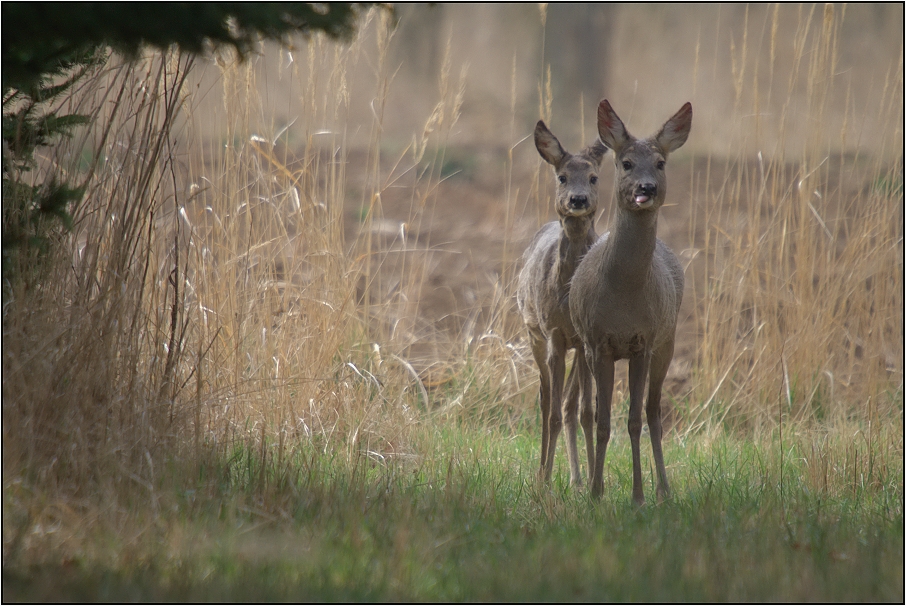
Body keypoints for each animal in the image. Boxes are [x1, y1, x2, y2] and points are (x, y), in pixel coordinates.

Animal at [568, 100, 688, 506]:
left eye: (661, 162)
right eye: (626, 163)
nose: (646, 188)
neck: (623, 298)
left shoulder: (644, 341)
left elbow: (634, 419)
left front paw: (637, 496)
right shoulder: (596, 343)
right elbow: (603, 421)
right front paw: (595, 492)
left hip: (668, 341)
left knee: (653, 413)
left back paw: (664, 488)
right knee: (588, 411)